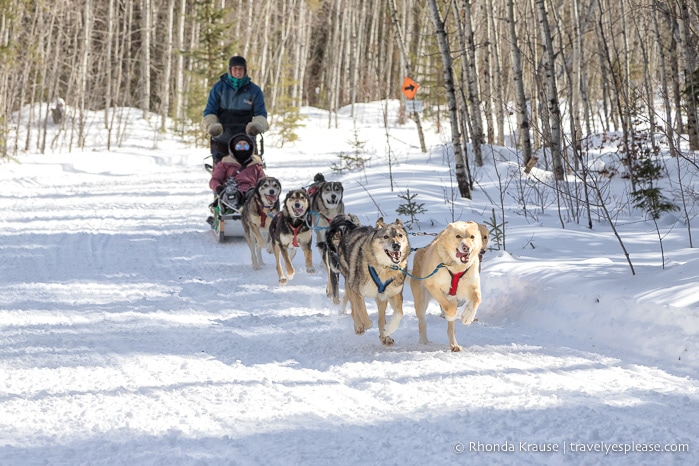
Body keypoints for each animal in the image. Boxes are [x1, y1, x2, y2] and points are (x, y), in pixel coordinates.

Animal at [410, 220, 486, 352]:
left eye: (472, 237)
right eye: (458, 236)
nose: (466, 247)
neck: (456, 267)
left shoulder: (472, 286)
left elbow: (477, 299)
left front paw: (467, 317)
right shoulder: (433, 286)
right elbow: (448, 306)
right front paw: (451, 314)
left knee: (451, 329)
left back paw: (454, 344)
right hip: (421, 302)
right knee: (422, 322)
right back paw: (424, 340)